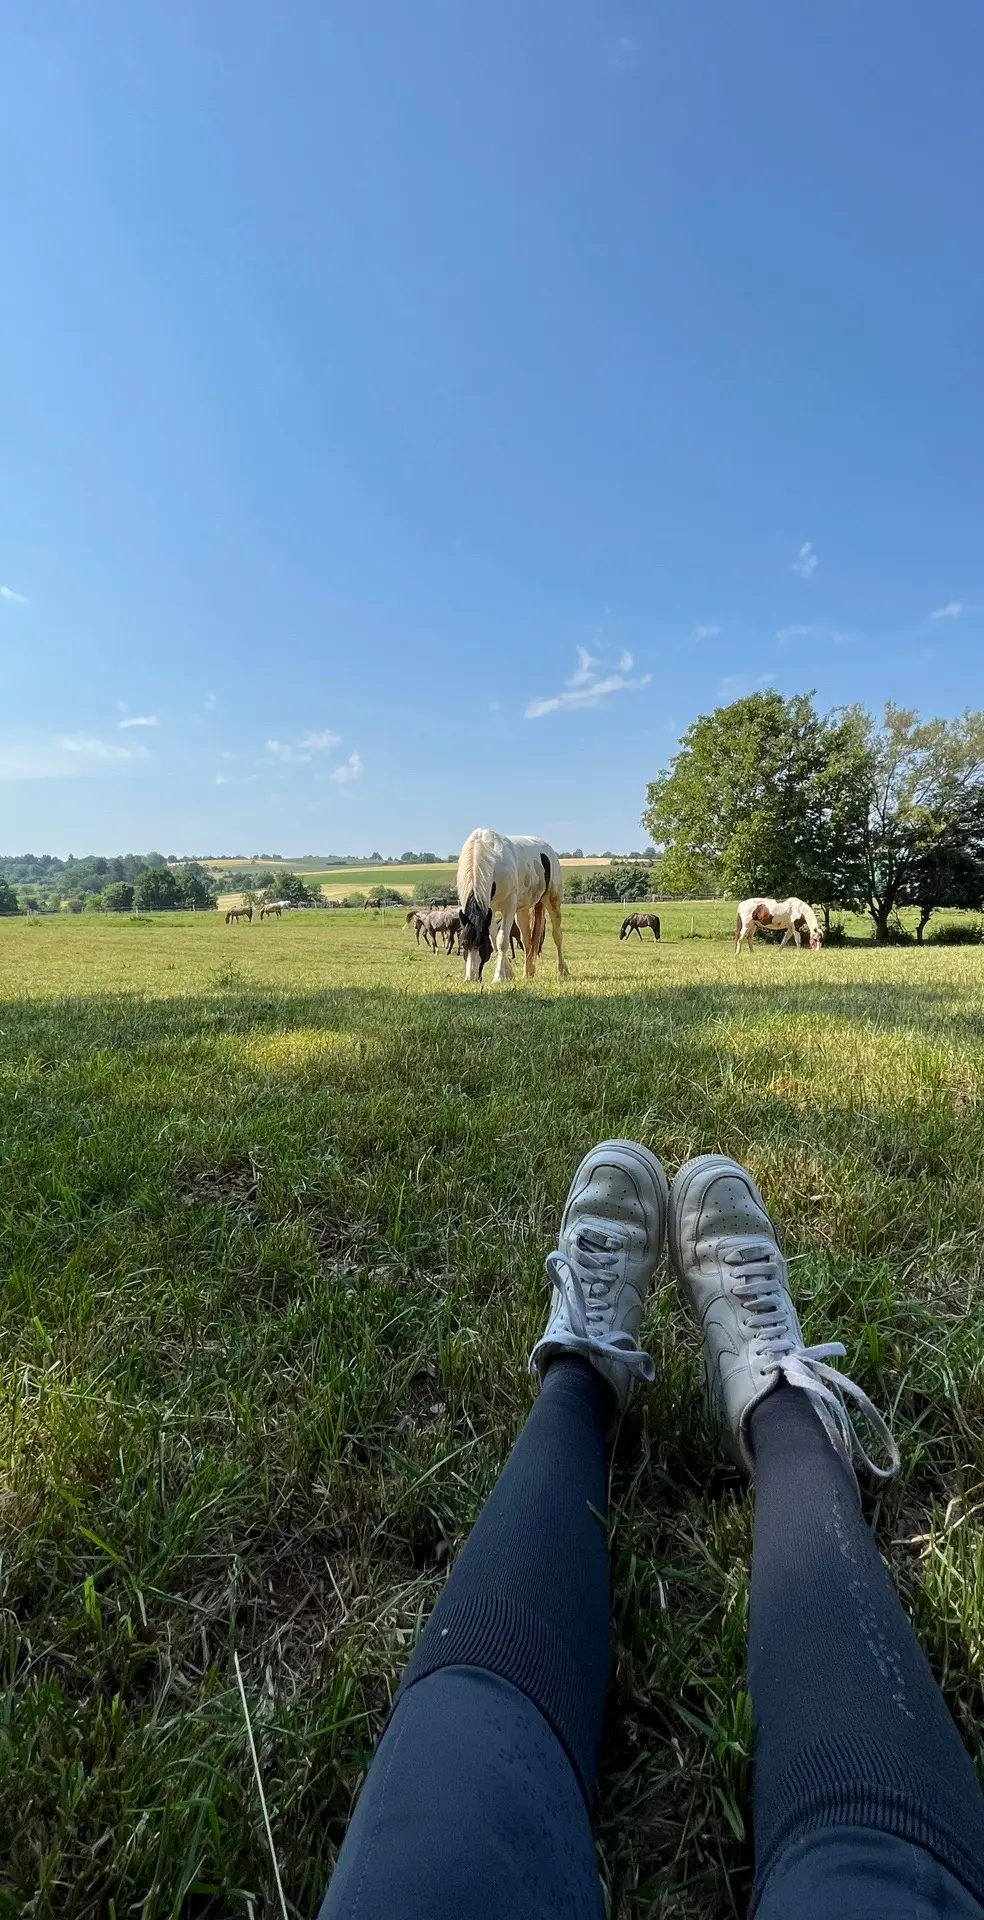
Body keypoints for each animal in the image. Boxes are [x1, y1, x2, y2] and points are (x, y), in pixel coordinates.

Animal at [455, 825, 568, 983]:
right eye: (463, 943)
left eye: (482, 944)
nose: (472, 979)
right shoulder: (489, 910)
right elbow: (495, 940)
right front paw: (509, 974)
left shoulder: (508, 906)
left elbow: (502, 941)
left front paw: (499, 977)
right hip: (522, 912)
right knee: (527, 941)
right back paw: (528, 973)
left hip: (553, 900)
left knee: (557, 935)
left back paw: (563, 970)